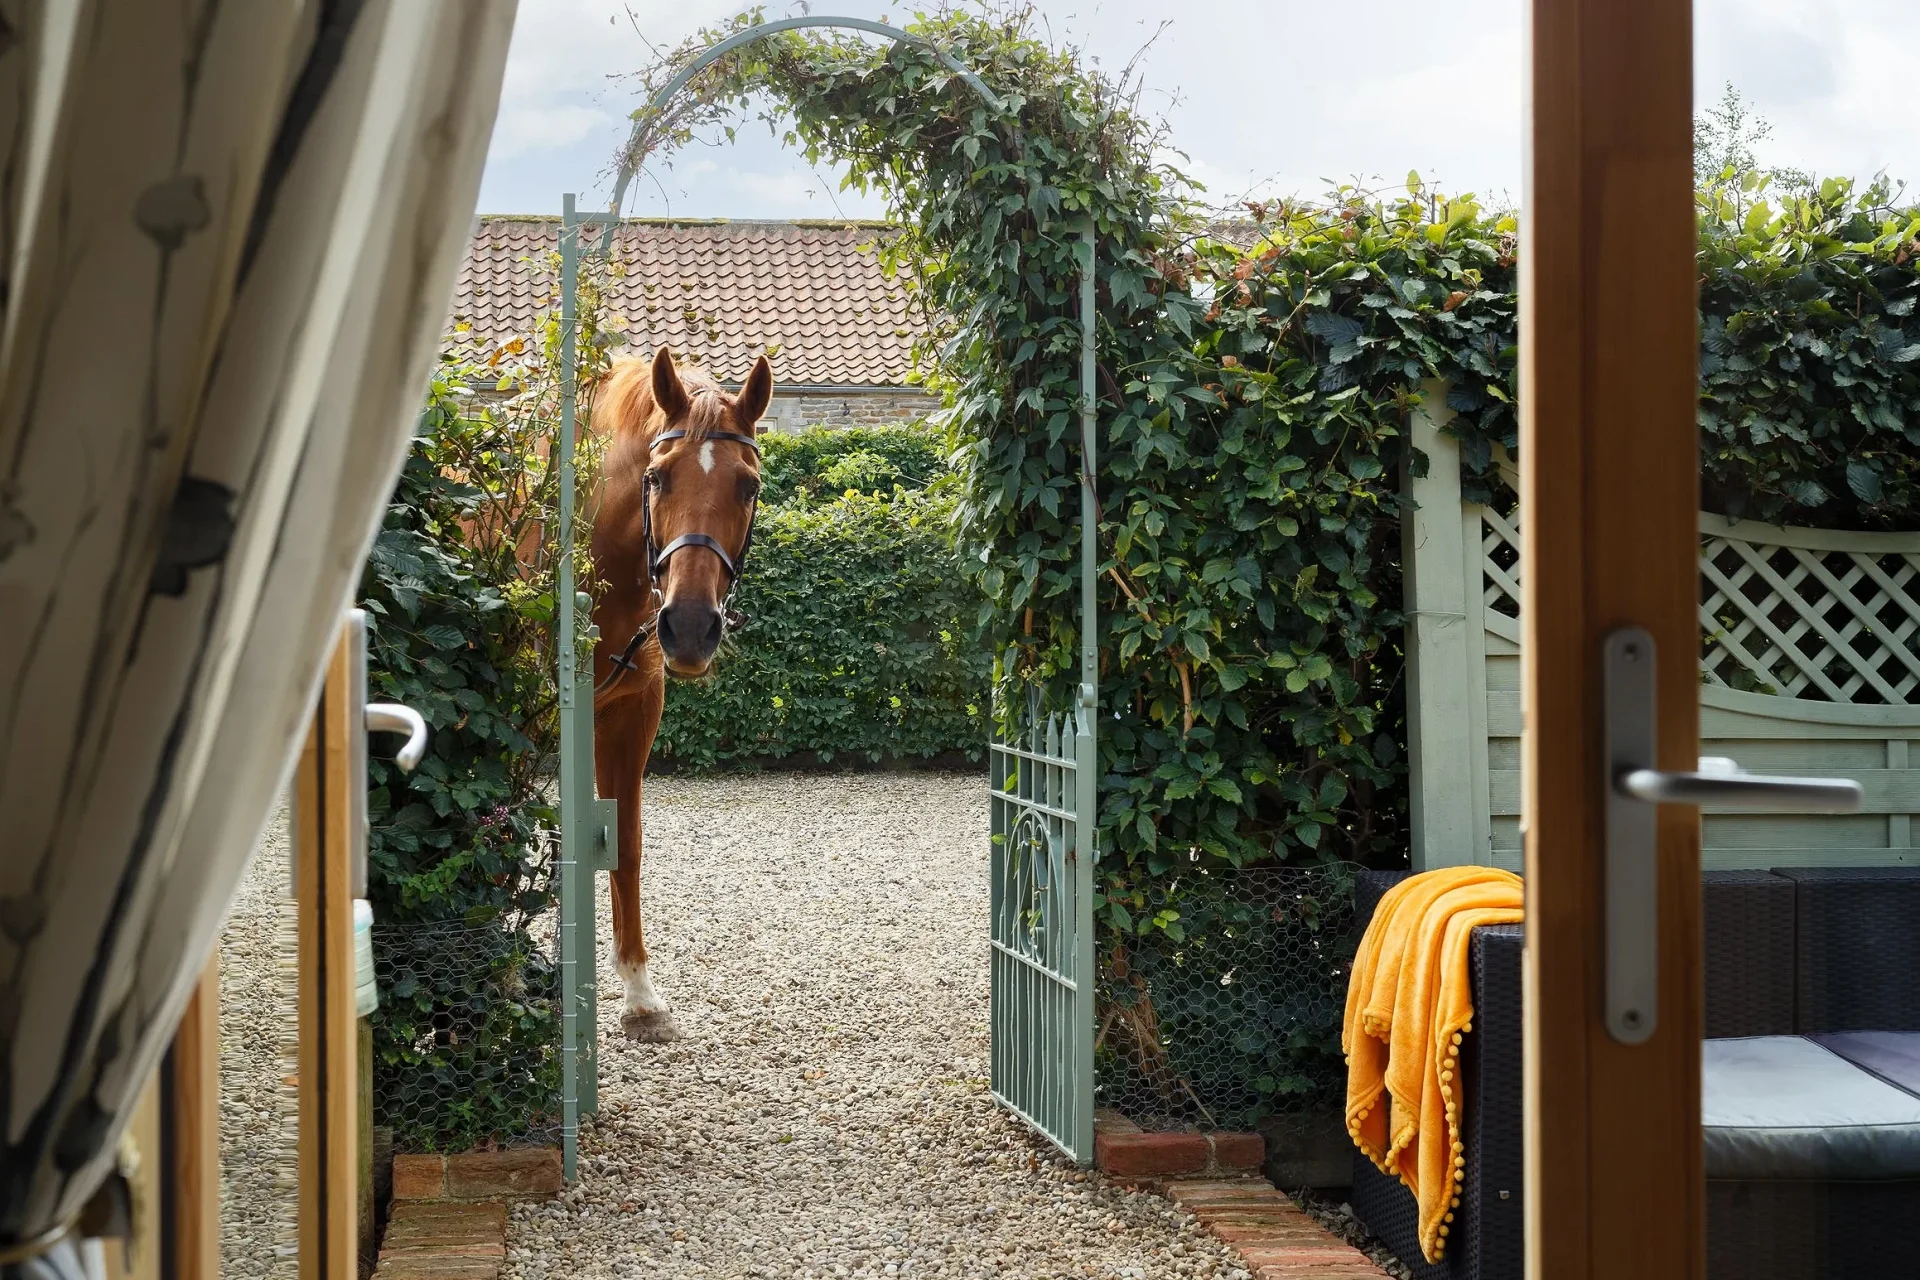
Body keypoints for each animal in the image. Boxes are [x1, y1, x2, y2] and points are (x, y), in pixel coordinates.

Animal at [588, 345, 769, 1043]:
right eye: (657, 478)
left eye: (748, 486)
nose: (689, 628)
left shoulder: (628, 723)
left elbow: (625, 847)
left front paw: (639, 995)